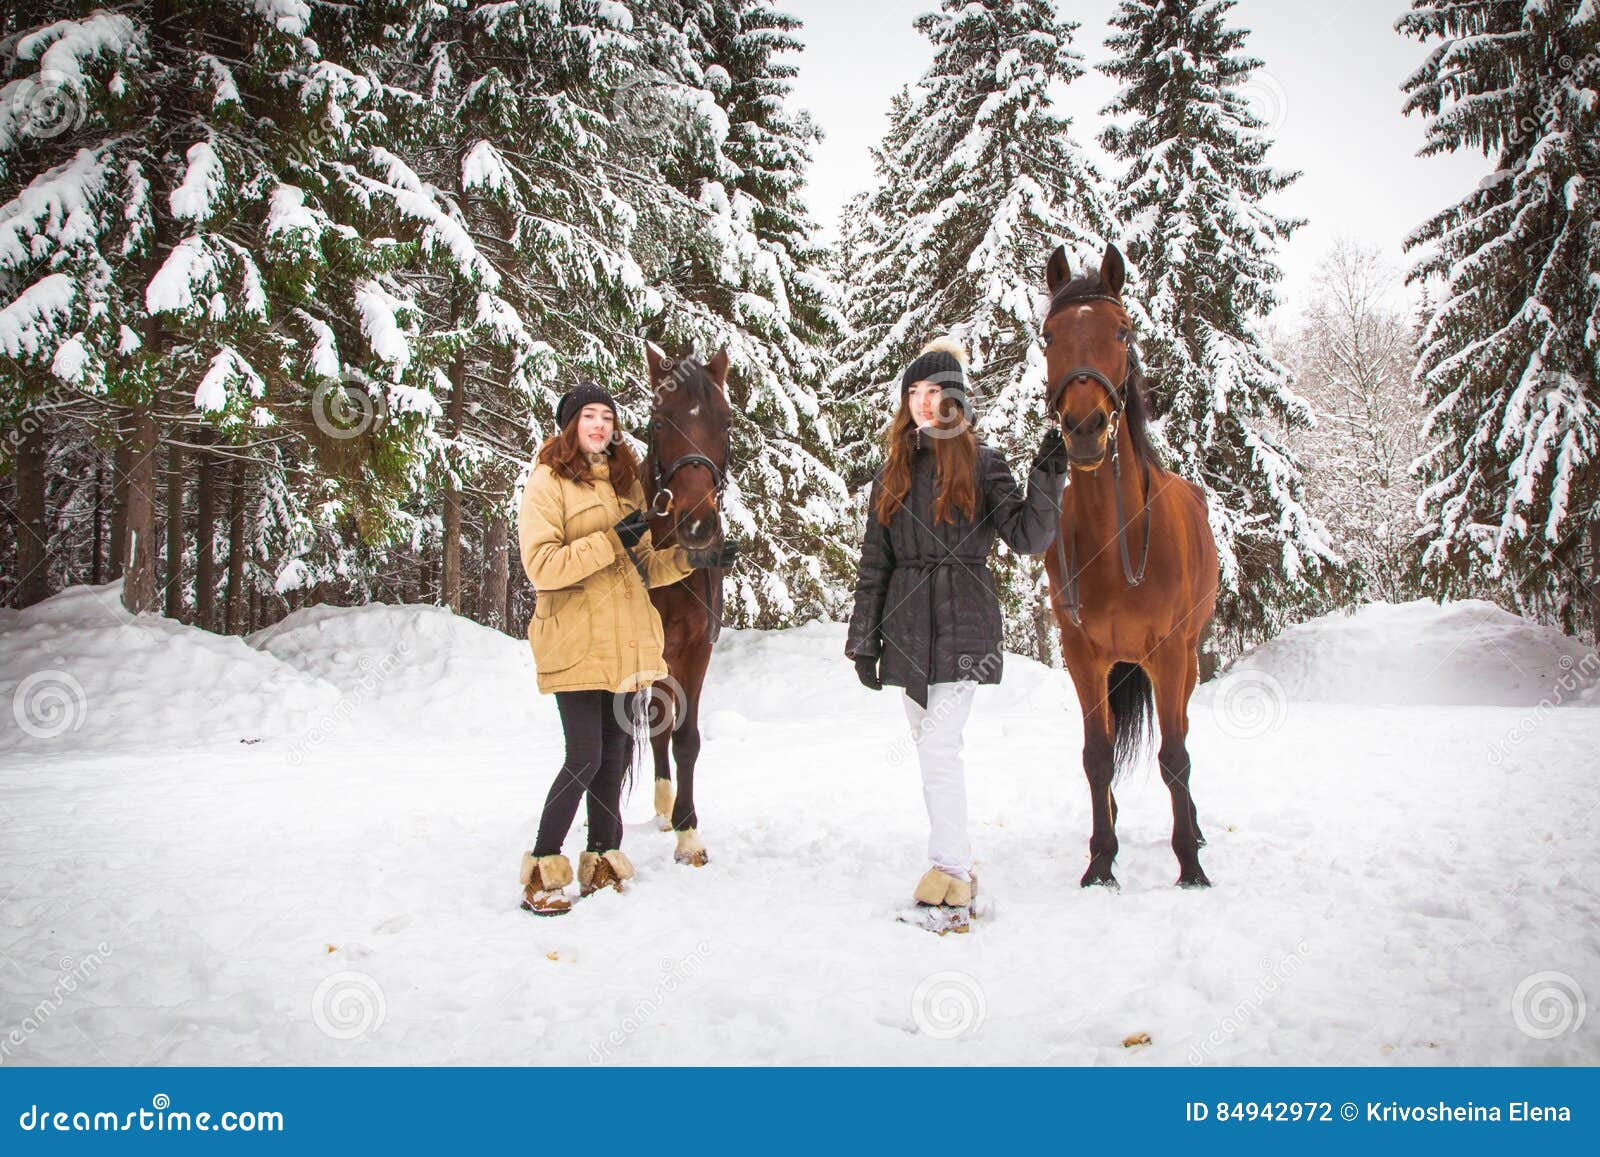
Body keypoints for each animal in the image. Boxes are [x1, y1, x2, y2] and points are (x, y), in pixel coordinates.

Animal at [1040, 242, 1220, 888]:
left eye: (1122, 330)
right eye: (1048, 336)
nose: (1085, 428)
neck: (1111, 540)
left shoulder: (1167, 653)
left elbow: (1174, 757)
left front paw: (1189, 866)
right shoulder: (1083, 657)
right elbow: (1097, 758)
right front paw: (1100, 862)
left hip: (1186, 658)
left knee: (1182, 740)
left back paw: (1195, 830)